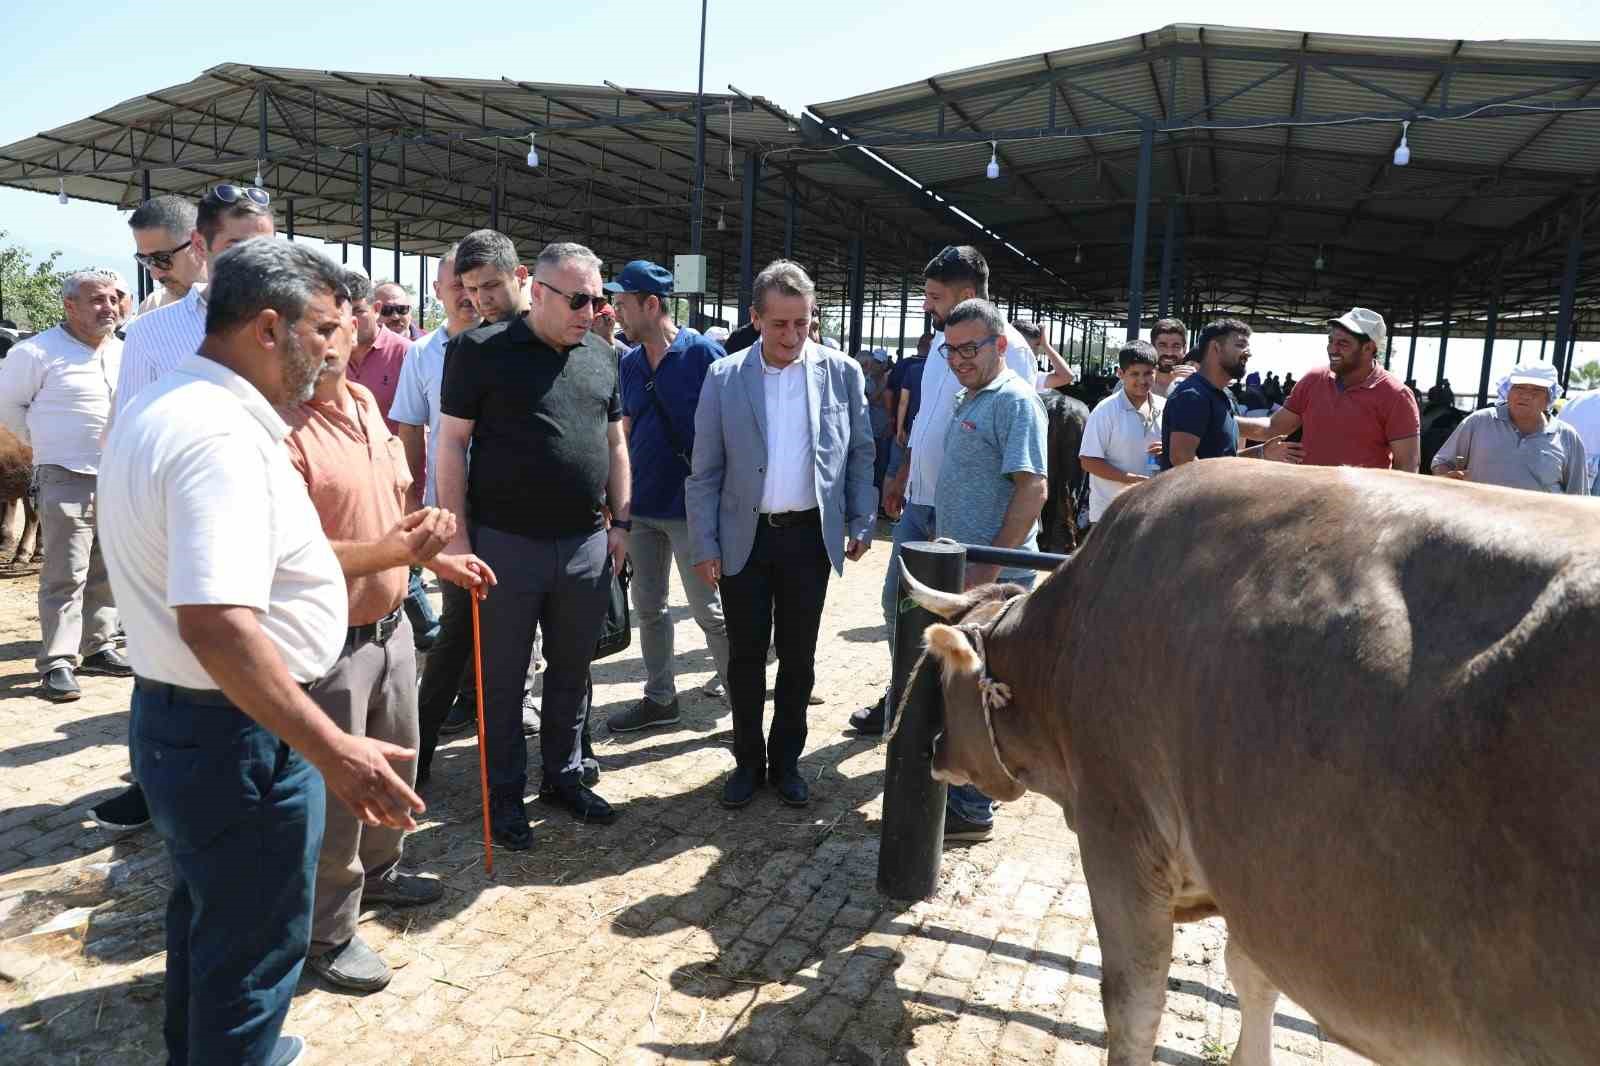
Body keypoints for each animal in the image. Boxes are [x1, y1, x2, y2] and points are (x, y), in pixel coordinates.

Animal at [902, 457, 1600, 1062]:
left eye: (939, 681)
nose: (932, 751)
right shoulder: (1251, 875)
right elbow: (1251, 975)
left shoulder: (1120, 836)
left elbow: (1134, 1005)